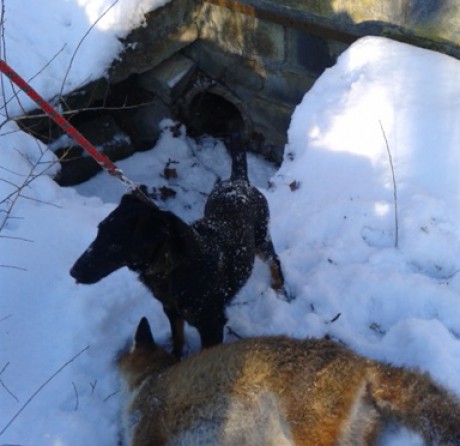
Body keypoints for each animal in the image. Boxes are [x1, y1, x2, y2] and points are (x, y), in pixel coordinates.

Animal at [70, 134, 284, 357]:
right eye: (98, 230)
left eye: (114, 245)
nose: (73, 272)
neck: (172, 265)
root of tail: (239, 181)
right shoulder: (171, 310)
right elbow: (178, 339)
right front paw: (174, 357)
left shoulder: (211, 323)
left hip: (261, 237)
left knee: (275, 259)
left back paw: (279, 288)